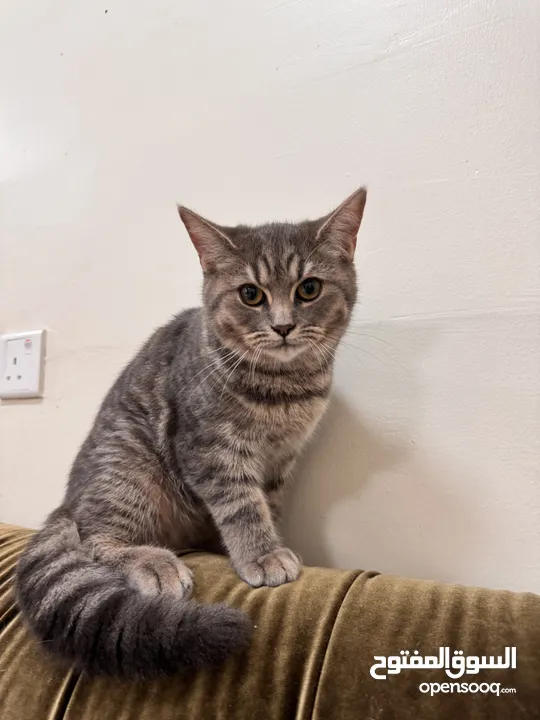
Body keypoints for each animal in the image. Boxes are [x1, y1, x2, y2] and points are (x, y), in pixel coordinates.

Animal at [15, 187, 368, 680]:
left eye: (309, 288)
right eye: (250, 294)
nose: (282, 326)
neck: (285, 389)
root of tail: (68, 502)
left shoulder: (281, 460)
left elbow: (268, 504)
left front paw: (267, 543)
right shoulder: (209, 450)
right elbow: (242, 505)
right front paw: (261, 554)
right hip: (127, 465)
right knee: (92, 539)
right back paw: (151, 560)